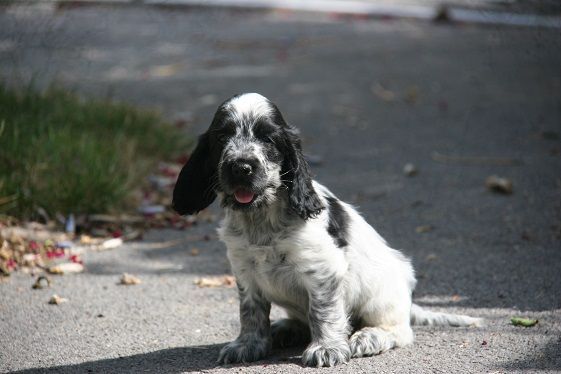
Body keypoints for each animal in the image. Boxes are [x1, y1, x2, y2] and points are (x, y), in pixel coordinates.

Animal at [172, 92, 482, 366]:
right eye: (222, 138)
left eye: (268, 139)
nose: (241, 167)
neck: (261, 219)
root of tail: (407, 299)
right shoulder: (244, 271)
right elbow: (251, 313)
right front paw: (248, 344)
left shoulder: (323, 270)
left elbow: (324, 312)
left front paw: (327, 348)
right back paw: (285, 329)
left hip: (381, 300)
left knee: (400, 331)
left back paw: (366, 338)